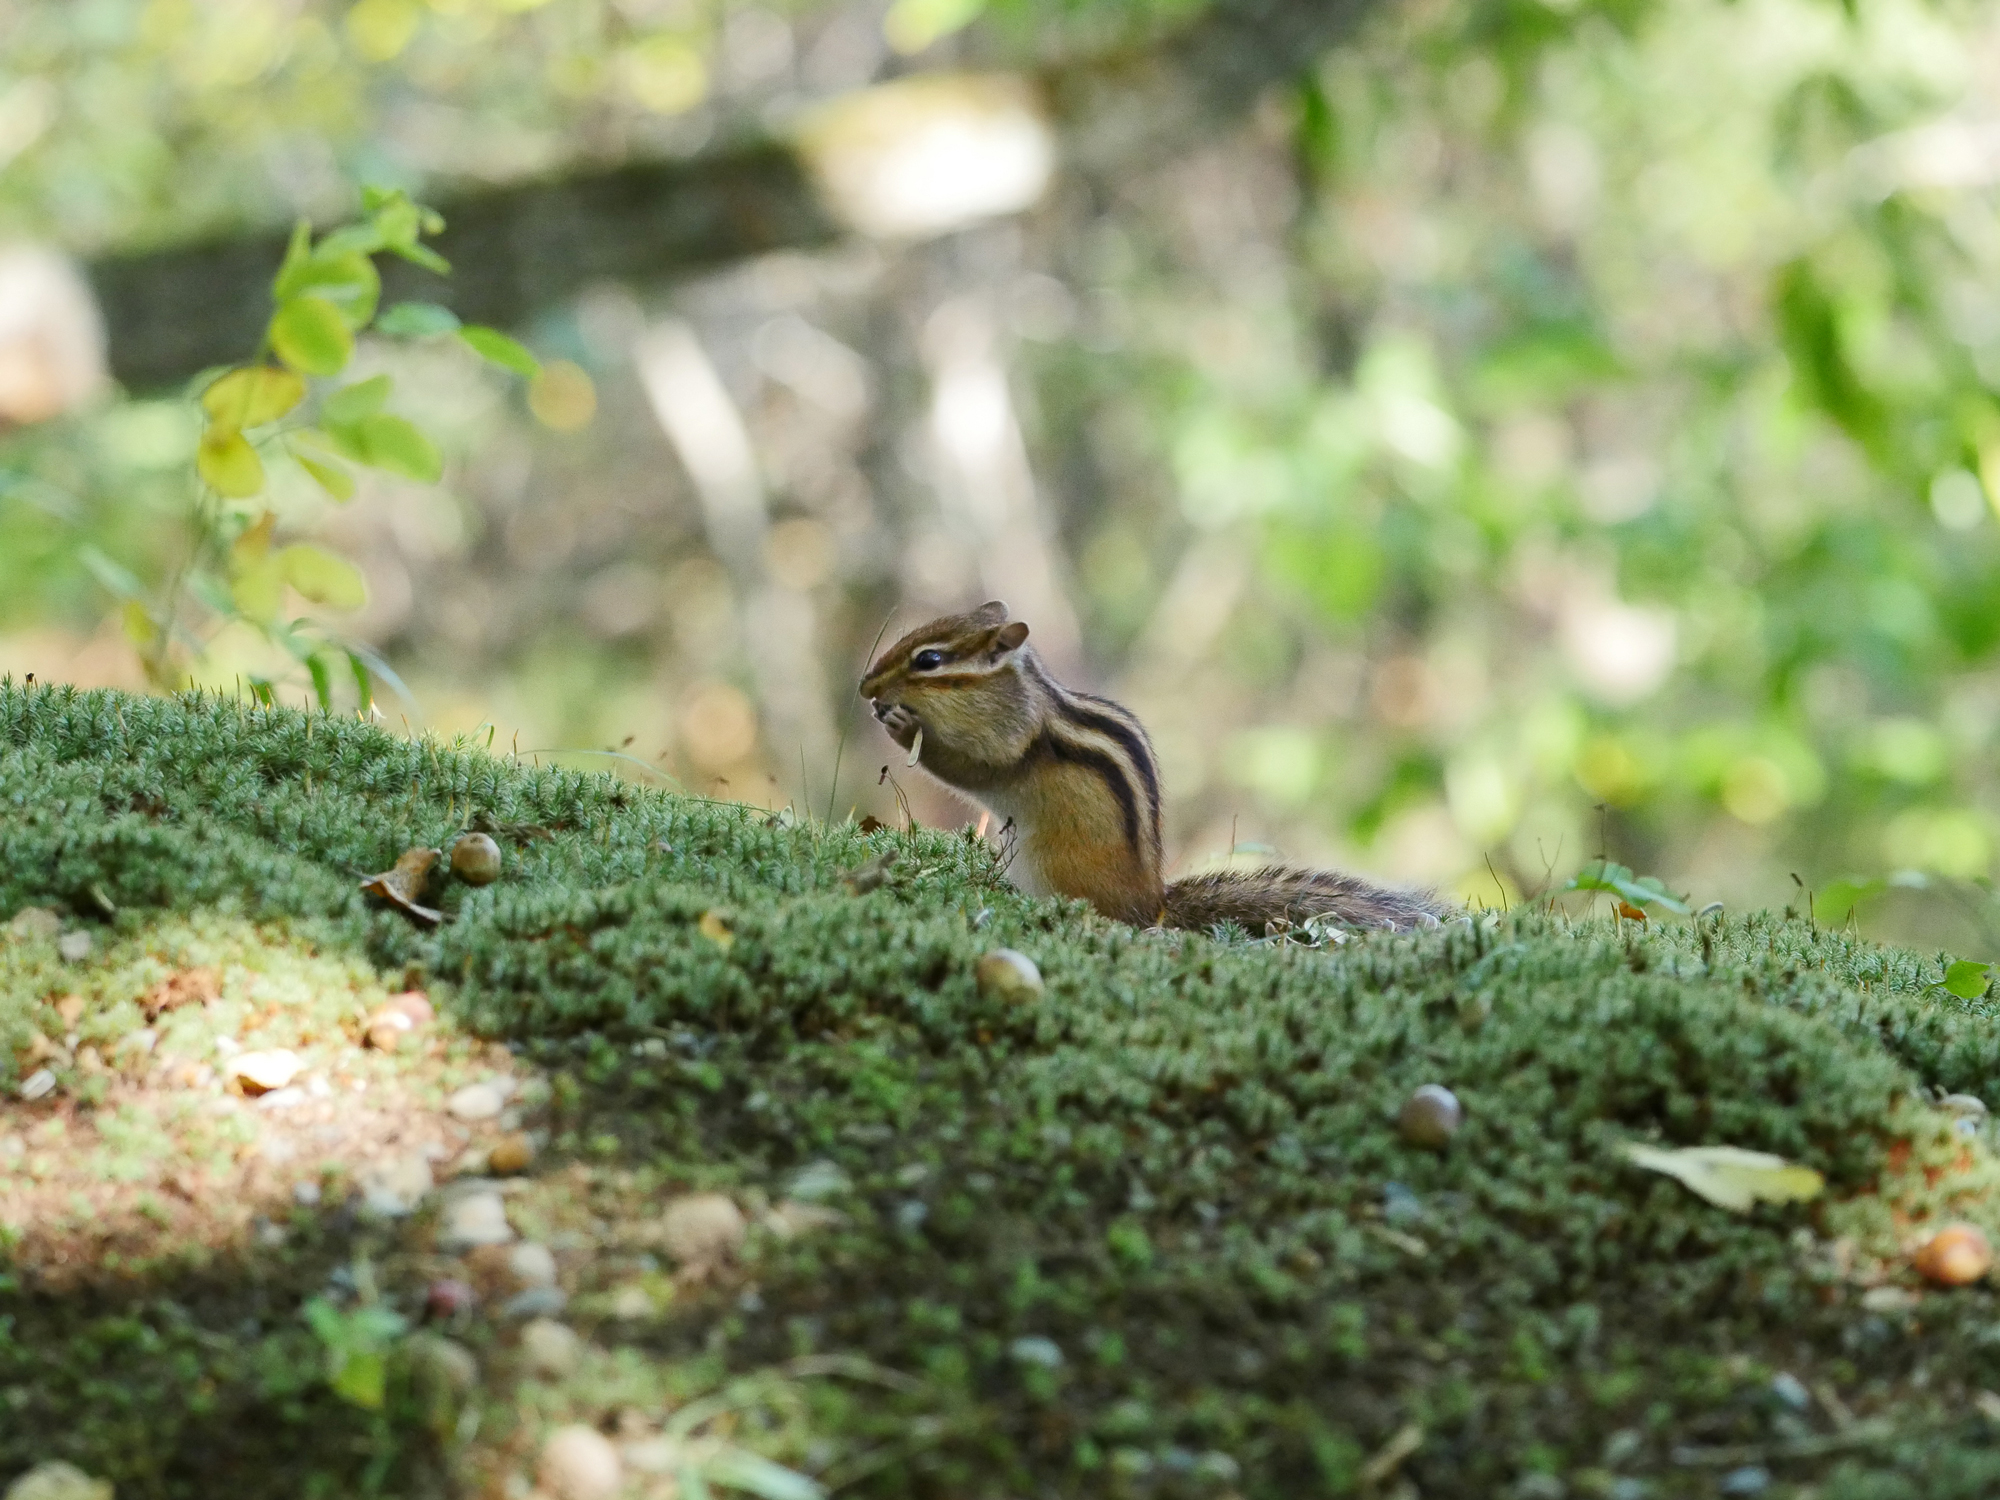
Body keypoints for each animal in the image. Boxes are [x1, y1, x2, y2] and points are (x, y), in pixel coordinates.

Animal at [860, 601, 1451, 934]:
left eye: (929, 660)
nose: (865, 687)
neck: (1012, 692)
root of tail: (1154, 901)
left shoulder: (1009, 737)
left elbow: (972, 768)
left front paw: (901, 727)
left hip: (1051, 863)